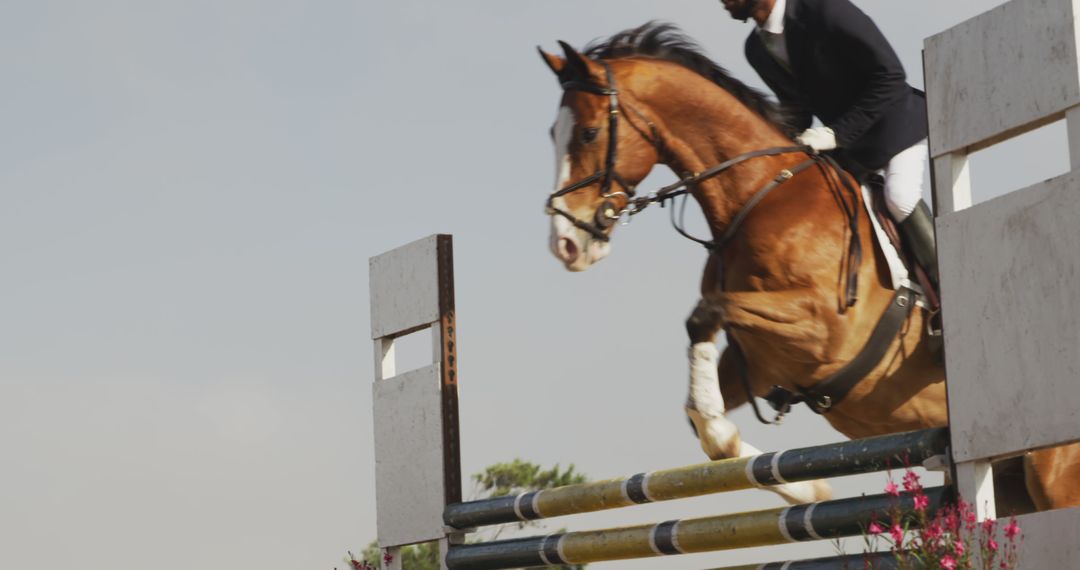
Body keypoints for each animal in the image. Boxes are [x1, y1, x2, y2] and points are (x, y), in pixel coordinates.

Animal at [535, 21, 1075, 511]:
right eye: (553, 134)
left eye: (588, 132)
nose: (565, 244)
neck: (759, 197)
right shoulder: (761, 361)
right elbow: (703, 413)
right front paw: (805, 487)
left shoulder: (823, 329)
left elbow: (706, 312)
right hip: (1011, 485)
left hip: (1050, 477)